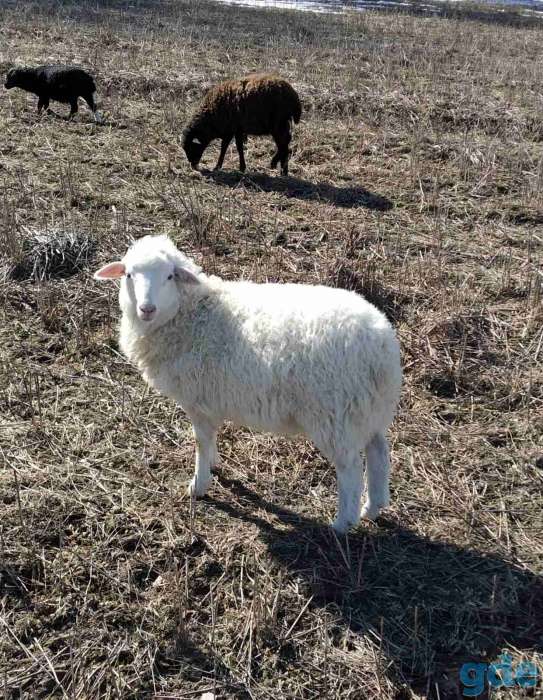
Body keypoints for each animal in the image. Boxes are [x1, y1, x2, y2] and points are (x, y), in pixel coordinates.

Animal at [94, 235, 402, 533]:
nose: (147, 308)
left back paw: (342, 524)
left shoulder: (198, 402)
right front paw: (214, 464)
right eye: (129, 274)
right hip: (366, 409)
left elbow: (200, 442)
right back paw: (373, 508)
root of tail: (382, 344)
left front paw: (199, 484)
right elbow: (209, 441)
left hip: (335, 414)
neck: (192, 314)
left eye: (170, 276)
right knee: (378, 452)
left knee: (351, 469)